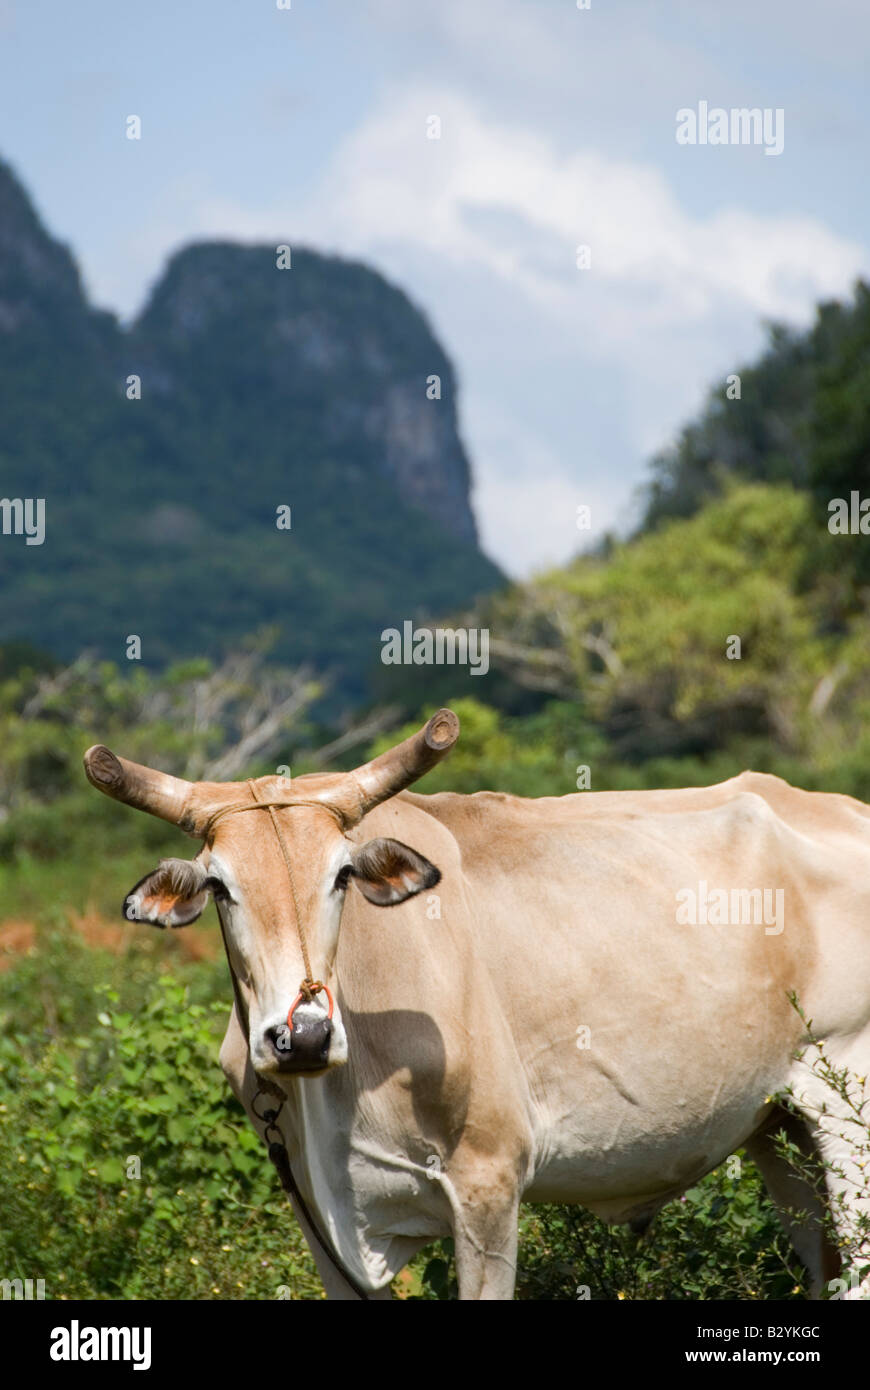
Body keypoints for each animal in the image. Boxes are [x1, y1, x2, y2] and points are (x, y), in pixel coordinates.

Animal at [84, 711, 867, 1295]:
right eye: (220, 886)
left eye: (342, 876)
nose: (302, 1035)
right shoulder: (315, 1215)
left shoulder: (489, 1187)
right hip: (778, 1127)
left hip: (847, 1107)